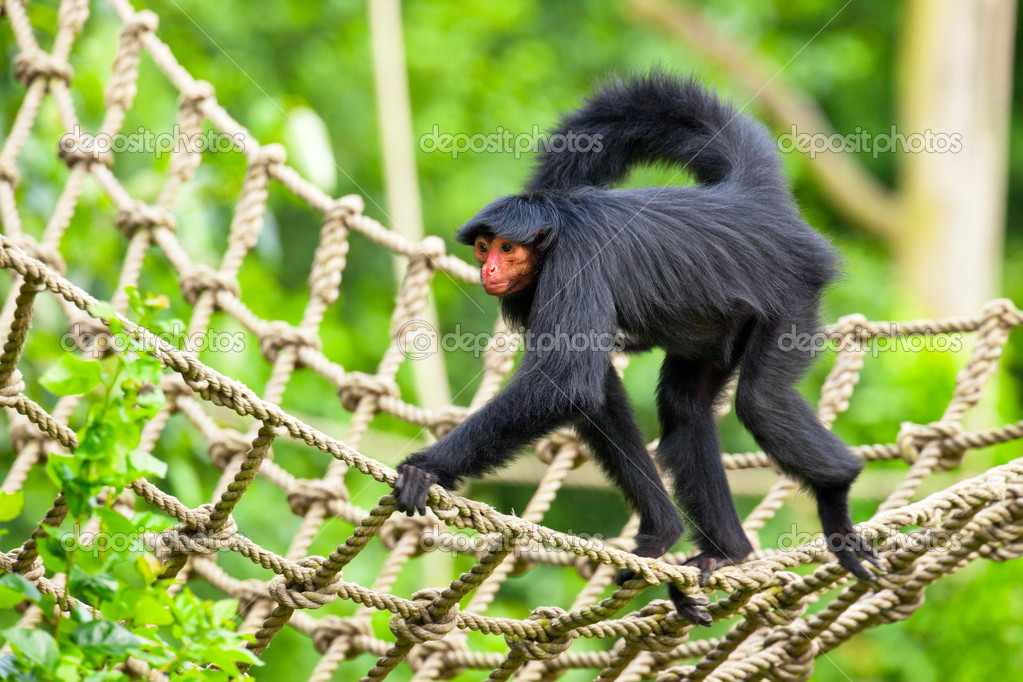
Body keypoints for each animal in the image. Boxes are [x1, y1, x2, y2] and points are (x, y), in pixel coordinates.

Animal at [388, 70, 879, 625]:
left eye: (506, 248)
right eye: (482, 248)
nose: (489, 268)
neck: (559, 228)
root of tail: (746, 203)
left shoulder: (576, 259)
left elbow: (567, 378)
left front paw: (428, 467)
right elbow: (593, 387)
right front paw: (661, 532)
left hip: (792, 294)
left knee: (761, 402)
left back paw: (837, 490)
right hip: (723, 325)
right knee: (683, 408)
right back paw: (723, 553)